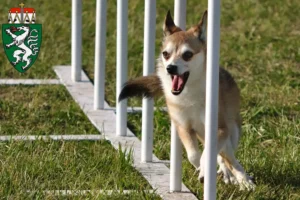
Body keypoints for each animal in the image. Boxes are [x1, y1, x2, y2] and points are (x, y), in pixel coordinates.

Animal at [118, 9, 254, 191]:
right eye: (165, 54)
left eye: (187, 55)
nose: (170, 68)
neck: (189, 94)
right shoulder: (183, 127)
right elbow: (194, 155)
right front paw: (202, 170)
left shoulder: (219, 129)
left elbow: (209, 154)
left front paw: (206, 170)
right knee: (222, 155)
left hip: (232, 129)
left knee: (229, 156)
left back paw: (242, 179)